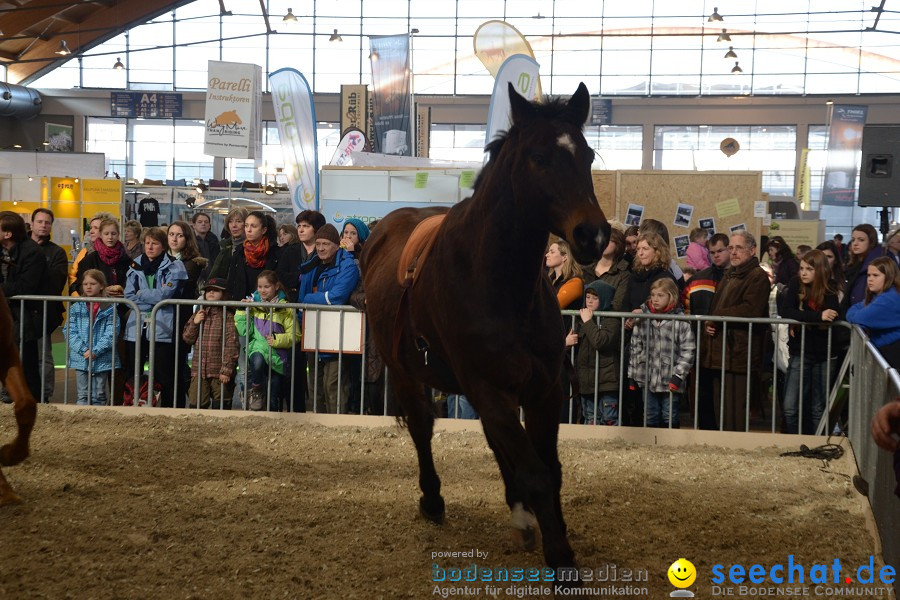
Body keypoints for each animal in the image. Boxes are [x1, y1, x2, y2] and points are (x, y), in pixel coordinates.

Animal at [362, 83, 608, 572]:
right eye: (538, 157)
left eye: (587, 155)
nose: (592, 235)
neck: (500, 284)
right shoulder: (487, 388)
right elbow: (535, 471)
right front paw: (561, 558)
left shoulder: (543, 389)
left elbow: (549, 469)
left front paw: (551, 529)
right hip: (407, 373)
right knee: (422, 428)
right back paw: (433, 501)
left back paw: (519, 513)